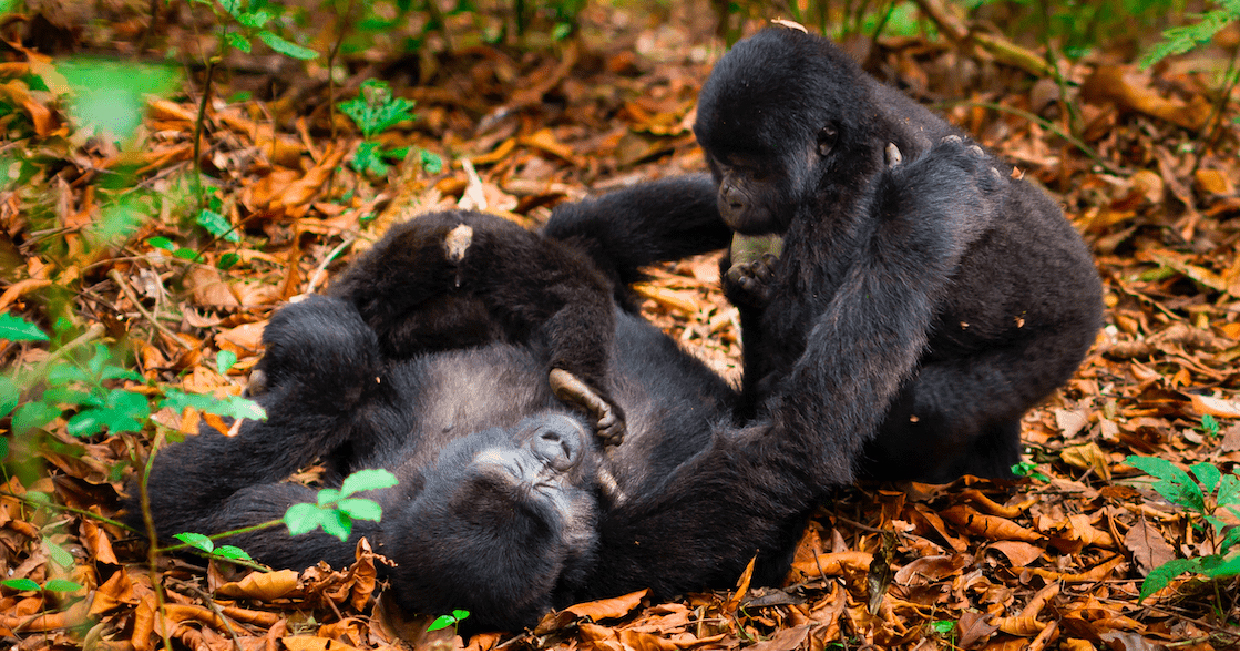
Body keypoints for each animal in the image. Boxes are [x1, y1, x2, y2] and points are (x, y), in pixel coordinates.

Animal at [138, 143, 1006, 634]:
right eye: (537, 488)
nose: (560, 445)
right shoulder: (337, 532)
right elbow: (799, 441)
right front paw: (933, 209)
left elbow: (177, 499)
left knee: (583, 235)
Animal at [694, 25, 1111, 481]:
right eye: (721, 161)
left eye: (752, 170)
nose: (729, 196)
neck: (848, 134)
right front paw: (749, 284)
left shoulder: (851, 192)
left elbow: (792, 349)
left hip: (1062, 341)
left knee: (926, 404)